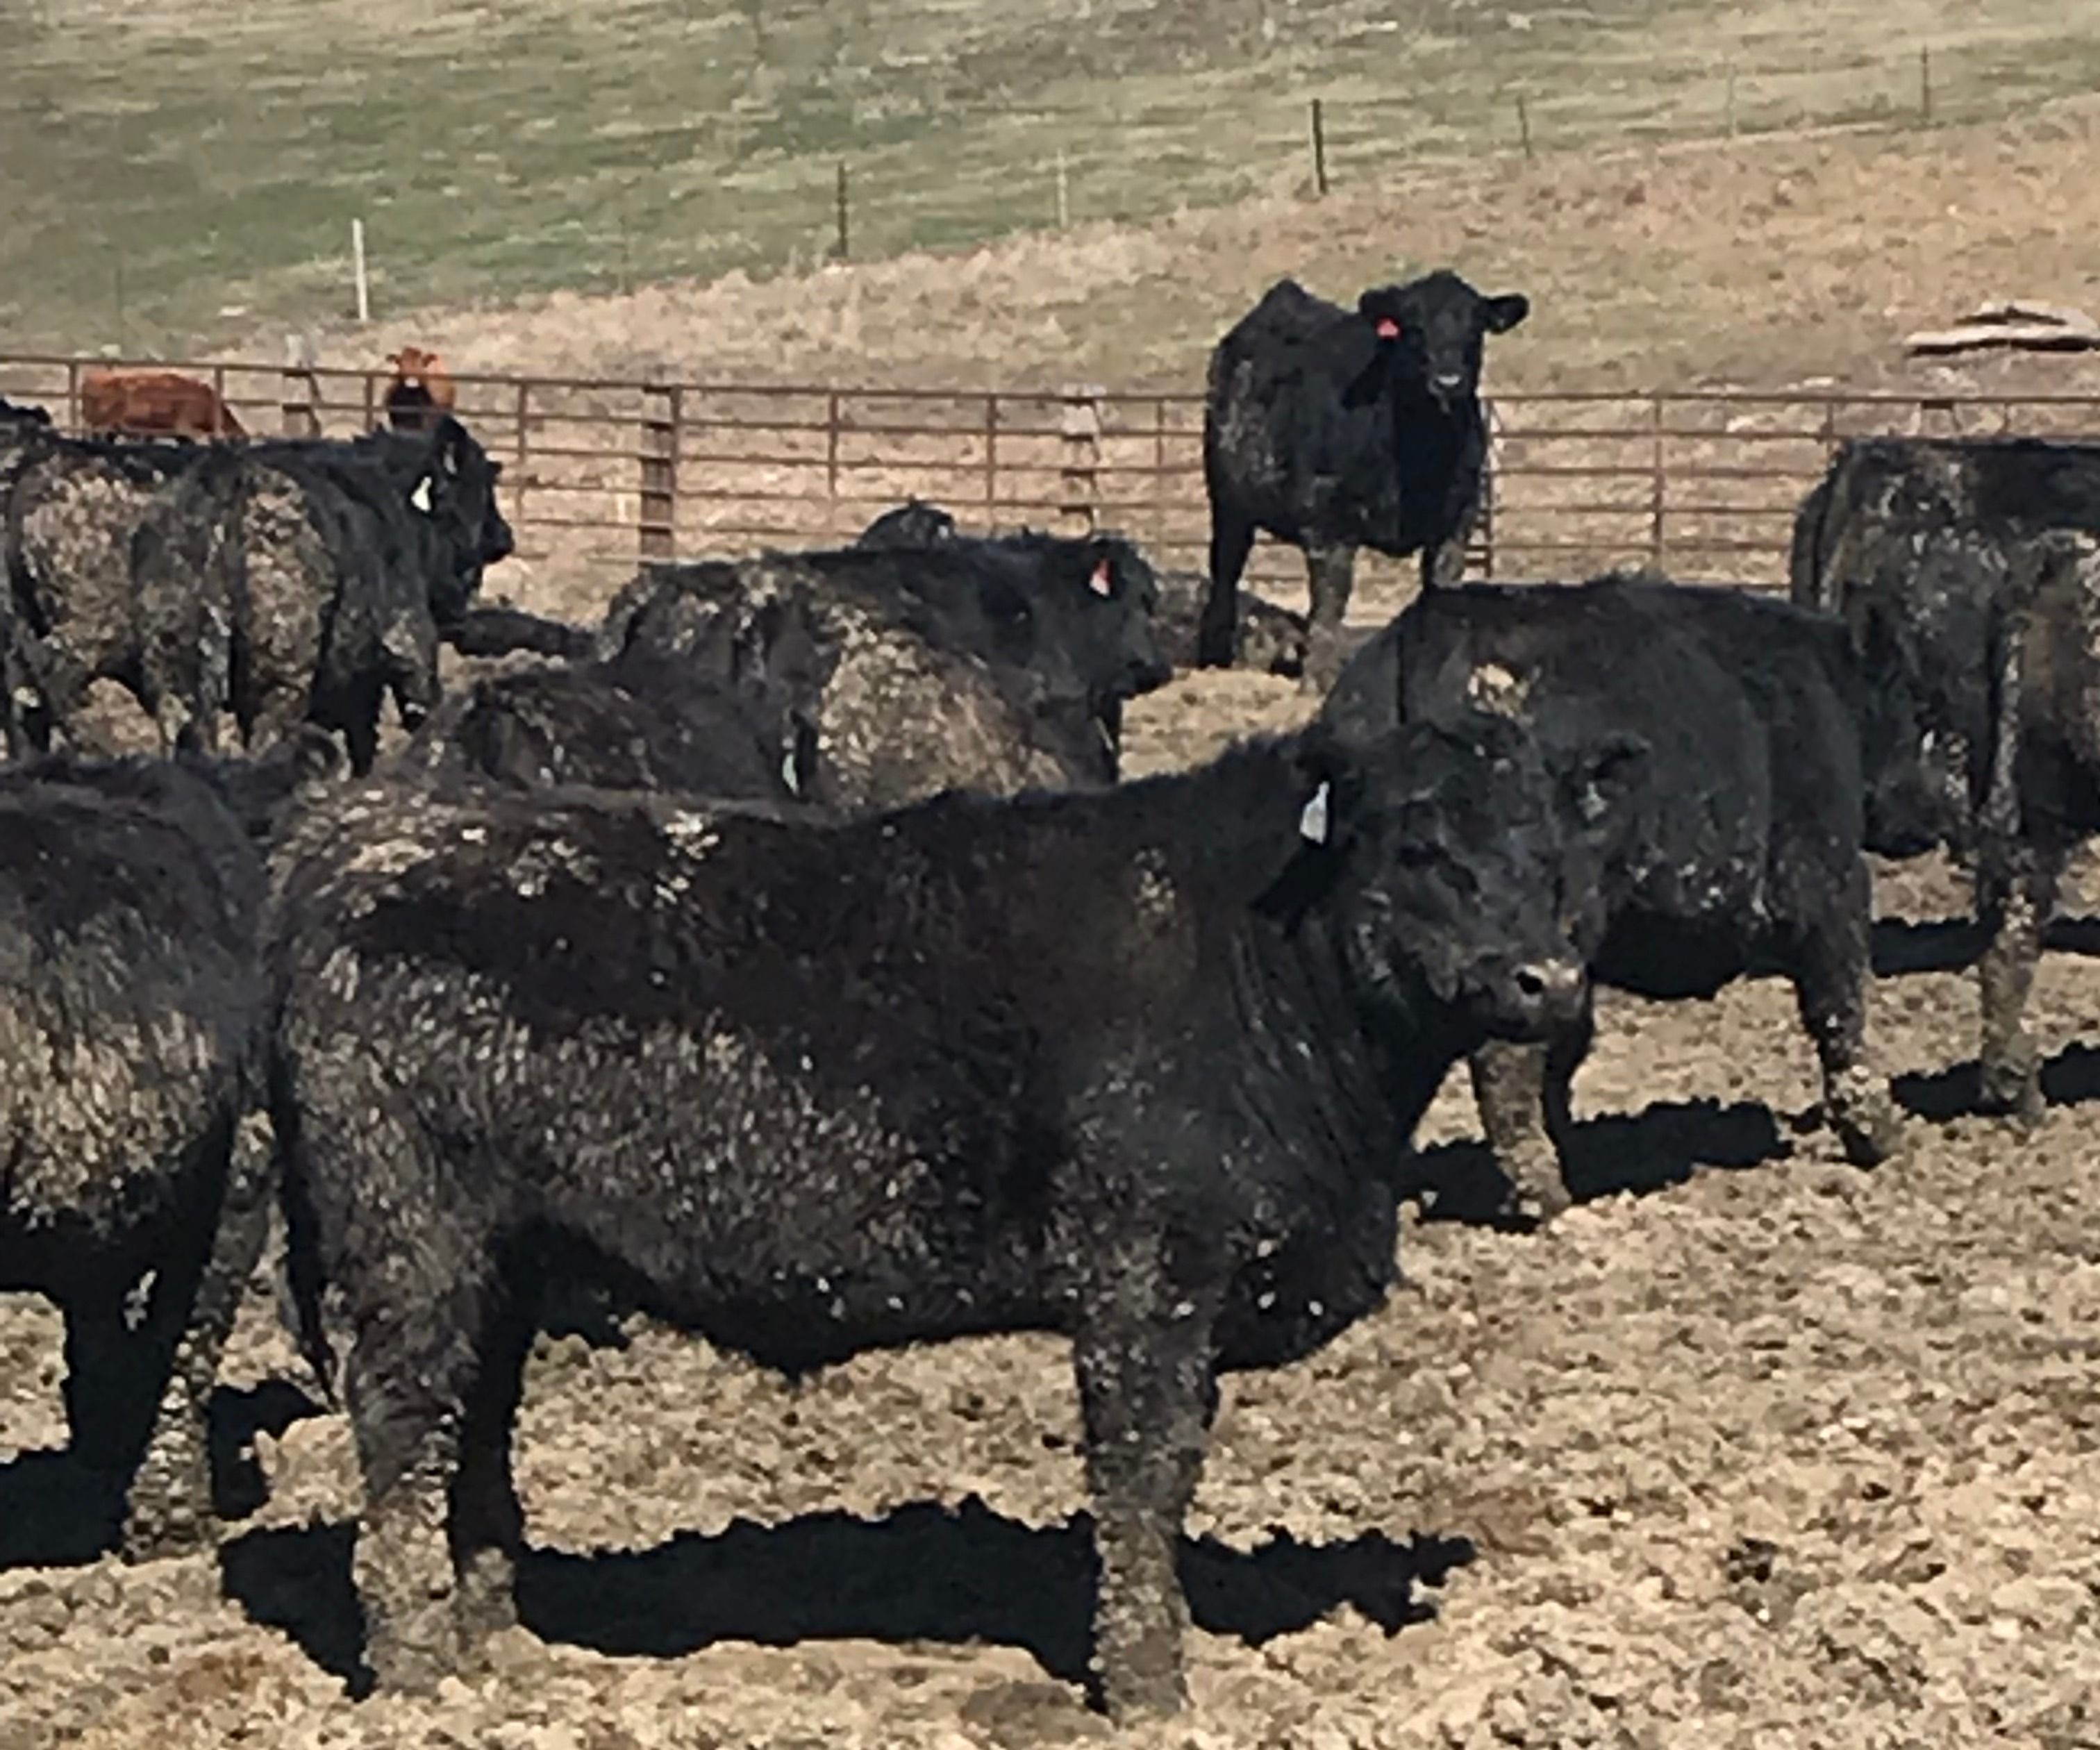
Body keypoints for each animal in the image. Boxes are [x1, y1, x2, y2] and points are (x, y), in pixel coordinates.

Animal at [265, 708, 1639, 1710]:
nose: (1548, 979)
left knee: (474, 1435)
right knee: (406, 1437)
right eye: (1420, 848)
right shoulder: (1143, 1280)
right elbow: (1142, 1479)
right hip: (407, 1253)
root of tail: (362, 840)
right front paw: (1149, 1688)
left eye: (1562, 857)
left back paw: (499, 1642)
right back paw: (421, 1676)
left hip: (503, 1259)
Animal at [1199, 269, 1529, 690]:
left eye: (1476, 327)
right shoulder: (1328, 524)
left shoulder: (1457, 524)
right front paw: (1317, 681)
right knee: (1225, 569)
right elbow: (1331, 600)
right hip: (1227, 502)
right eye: (1413, 327)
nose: (1448, 380)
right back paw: (1214, 659)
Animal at [1323, 571, 1907, 1221]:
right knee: (1506, 1058)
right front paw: (1877, 1135)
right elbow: (1841, 1007)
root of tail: (1440, 621)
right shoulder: (1829, 882)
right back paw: (1545, 1194)